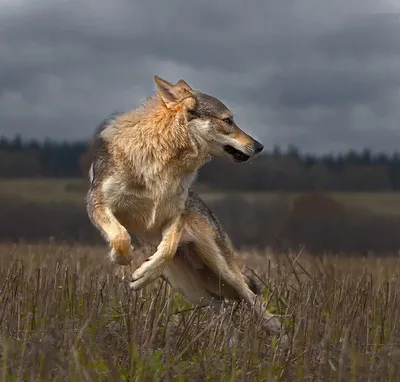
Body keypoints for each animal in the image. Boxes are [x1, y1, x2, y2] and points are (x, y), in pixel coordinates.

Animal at [86, 76, 286, 338]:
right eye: (228, 120)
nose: (259, 146)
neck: (164, 162)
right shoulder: (97, 202)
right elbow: (120, 237)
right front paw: (122, 256)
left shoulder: (174, 216)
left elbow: (168, 248)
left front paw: (143, 274)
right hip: (190, 288)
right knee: (222, 308)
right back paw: (229, 341)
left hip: (223, 270)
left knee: (250, 297)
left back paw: (277, 331)